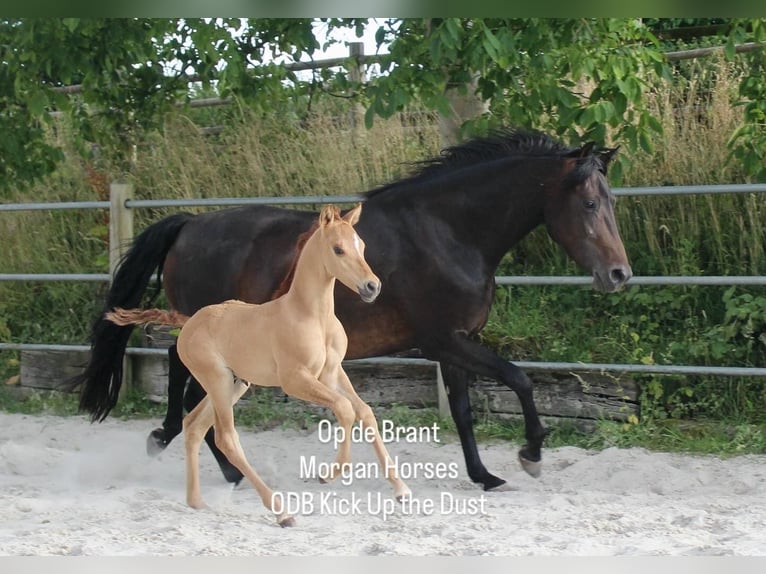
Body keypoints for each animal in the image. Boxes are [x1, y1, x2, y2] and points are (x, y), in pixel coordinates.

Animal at [70, 128, 632, 492]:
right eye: (588, 204)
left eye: (611, 202)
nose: (619, 275)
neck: (448, 231)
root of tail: (188, 225)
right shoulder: (444, 340)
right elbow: (520, 379)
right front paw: (531, 455)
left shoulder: (455, 344)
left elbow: (465, 411)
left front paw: (485, 476)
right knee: (186, 381)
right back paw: (193, 452)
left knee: (185, 380)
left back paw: (207, 459)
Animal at [105, 204, 411, 526]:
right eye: (338, 249)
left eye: (361, 246)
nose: (372, 287)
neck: (312, 316)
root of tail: (189, 322)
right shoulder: (295, 379)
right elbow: (345, 409)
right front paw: (329, 475)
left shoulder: (332, 372)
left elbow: (363, 411)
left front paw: (402, 490)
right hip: (217, 381)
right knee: (225, 437)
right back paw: (281, 511)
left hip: (234, 384)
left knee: (195, 426)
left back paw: (196, 501)